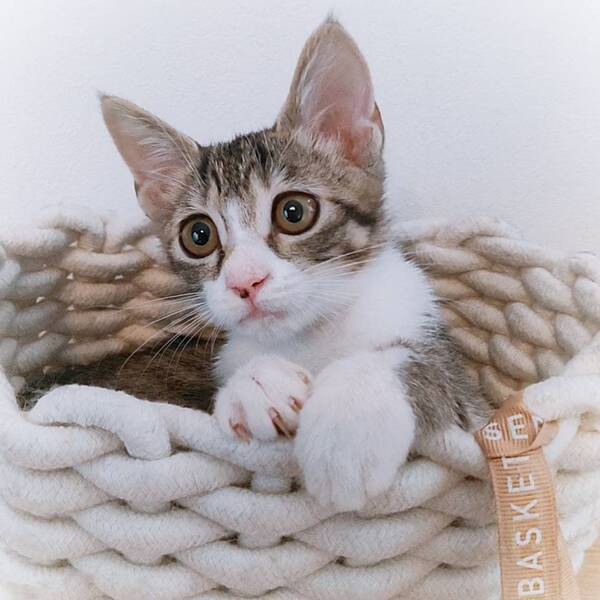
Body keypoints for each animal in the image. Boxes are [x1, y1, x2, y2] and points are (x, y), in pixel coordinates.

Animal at [79, 18, 488, 511]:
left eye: (294, 212)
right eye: (198, 236)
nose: (245, 282)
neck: (312, 337)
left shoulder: (472, 406)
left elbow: (420, 367)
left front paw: (346, 426)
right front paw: (257, 385)